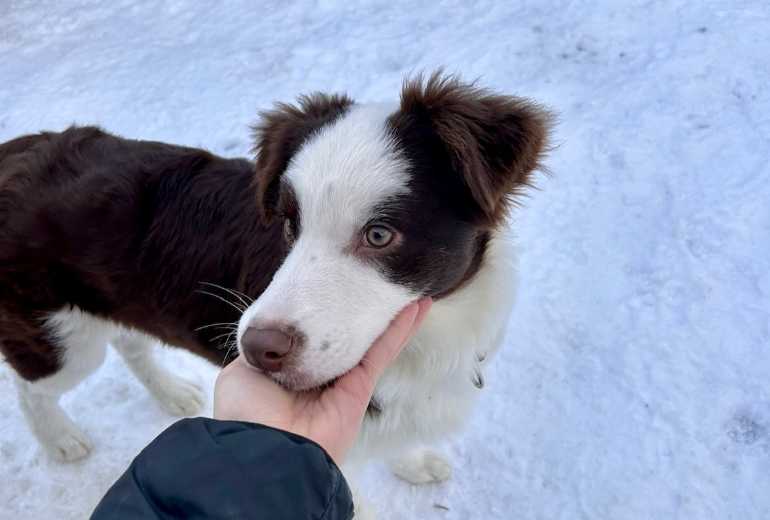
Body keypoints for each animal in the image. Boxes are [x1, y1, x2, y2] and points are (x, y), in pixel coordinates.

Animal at [0, 71, 544, 502]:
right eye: (288, 225)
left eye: (379, 234)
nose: (256, 349)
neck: (427, 340)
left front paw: (412, 462)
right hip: (56, 336)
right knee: (32, 388)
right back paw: (60, 439)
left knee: (130, 341)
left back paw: (171, 393)